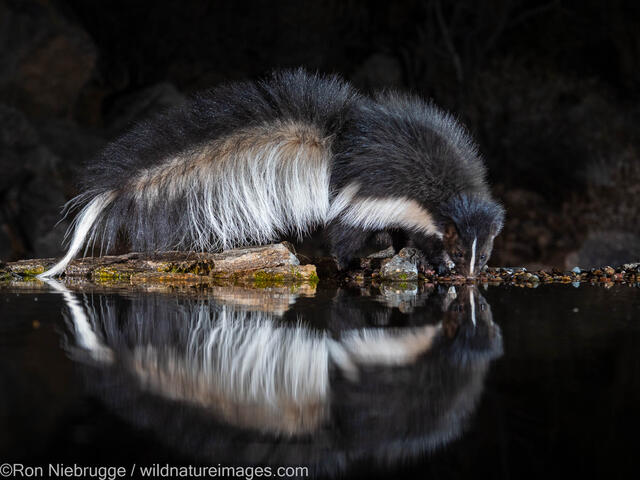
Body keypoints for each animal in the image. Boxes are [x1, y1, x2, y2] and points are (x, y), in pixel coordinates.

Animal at [38, 69, 504, 276]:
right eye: (461, 247)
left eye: (487, 252)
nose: (472, 274)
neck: (457, 194)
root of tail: (342, 143)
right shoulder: (419, 209)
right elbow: (424, 238)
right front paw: (440, 265)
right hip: (361, 197)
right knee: (344, 232)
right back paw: (350, 262)